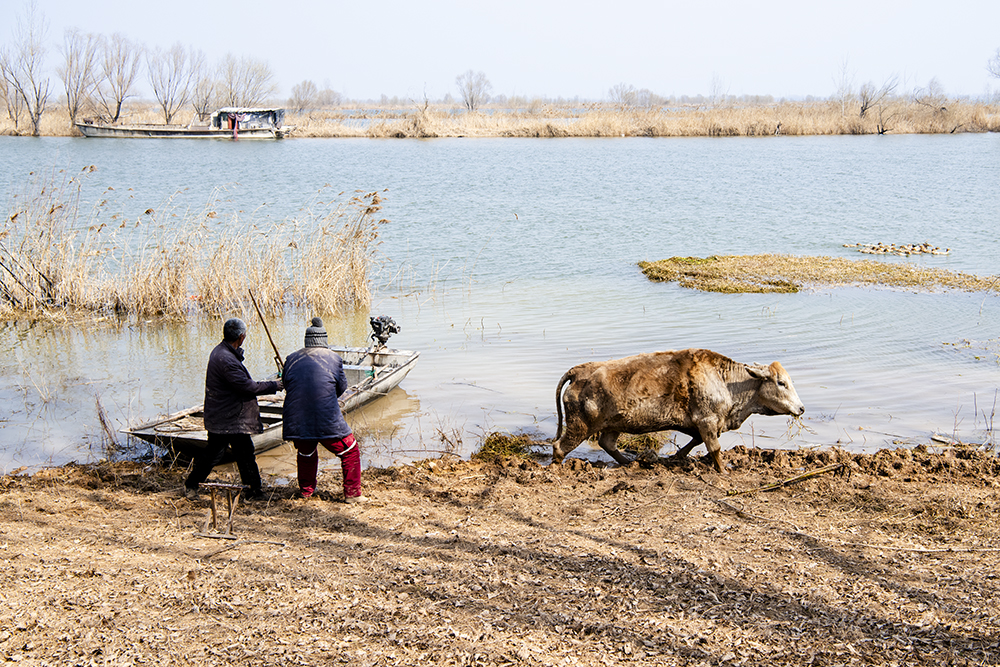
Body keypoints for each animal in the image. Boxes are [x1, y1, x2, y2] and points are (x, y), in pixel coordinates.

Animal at [552, 348, 808, 472]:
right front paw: (723, 470)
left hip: (613, 425)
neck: (725, 380)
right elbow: (714, 448)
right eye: (781, 383)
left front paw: (676, 457)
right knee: (559, 447)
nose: (801, 408)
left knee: (607, 443)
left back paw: (629, 462)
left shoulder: (699, 424)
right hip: (579, 426)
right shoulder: (707, 421)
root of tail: (579, 371)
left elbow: (695, 442)